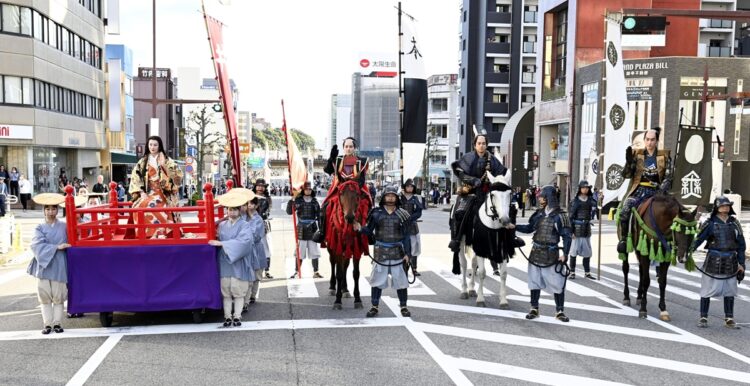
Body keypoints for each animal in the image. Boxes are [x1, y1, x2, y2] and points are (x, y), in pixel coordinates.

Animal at [324, 179, 372, 310]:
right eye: (341, 194)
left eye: (357, 195)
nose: (349, 217)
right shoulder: (338, 247)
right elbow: (339, 274)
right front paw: (337, 300)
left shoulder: (356, 248)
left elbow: (355, 273)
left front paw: (358, 299)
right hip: (331, 247)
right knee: (333, 263)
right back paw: (332, 287)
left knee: (345, 266)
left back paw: (345, 289)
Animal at [456, 172, 516, 308]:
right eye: (493, 195)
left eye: (509, 194)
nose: (505, 221)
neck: (493, 225)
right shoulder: (481, 248)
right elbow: (482, 273)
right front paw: (481, 299)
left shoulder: (502, 249)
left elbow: (504, 274)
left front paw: (503, 300)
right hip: (462, 242)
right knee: (464, 264)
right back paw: (464, 290)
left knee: (473, 264)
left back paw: (472, 289)